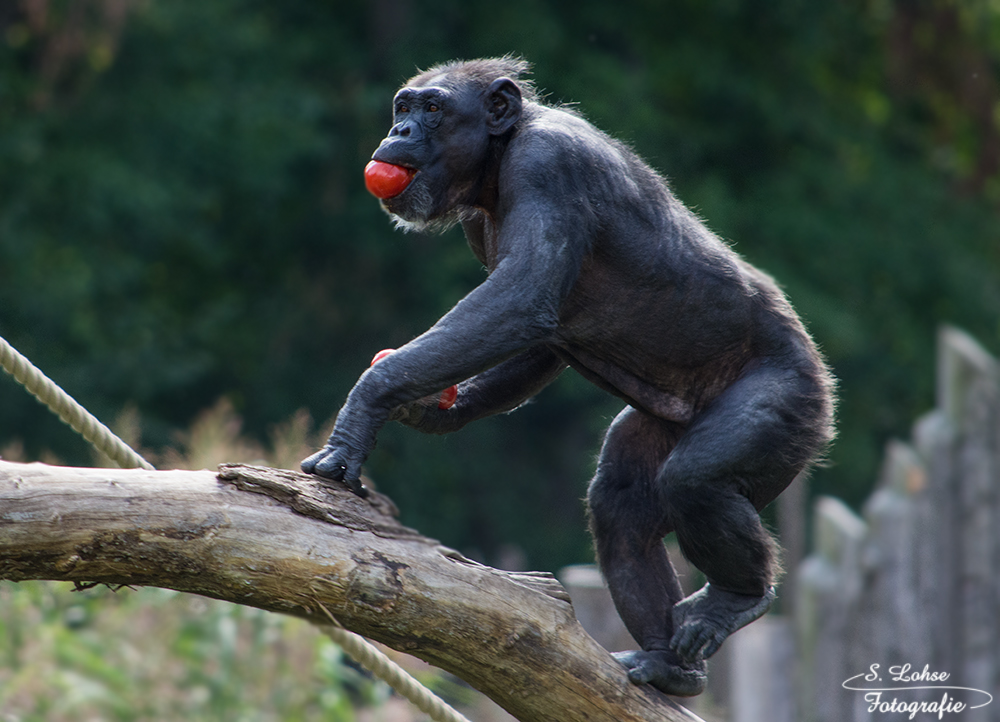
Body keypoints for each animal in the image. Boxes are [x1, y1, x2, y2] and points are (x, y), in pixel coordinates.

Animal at [300, 57, 832, 696]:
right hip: (666, 423)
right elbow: (537, 335)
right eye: (403, 107)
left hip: (789, 402)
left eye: (432, 109)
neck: (498, 160)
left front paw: (364, 412)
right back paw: (668, 665)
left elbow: (520, 298)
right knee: (622, 501)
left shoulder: (548, 167)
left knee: (698, 479)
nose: (400, 130)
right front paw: (430, 409)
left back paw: (736, 598)